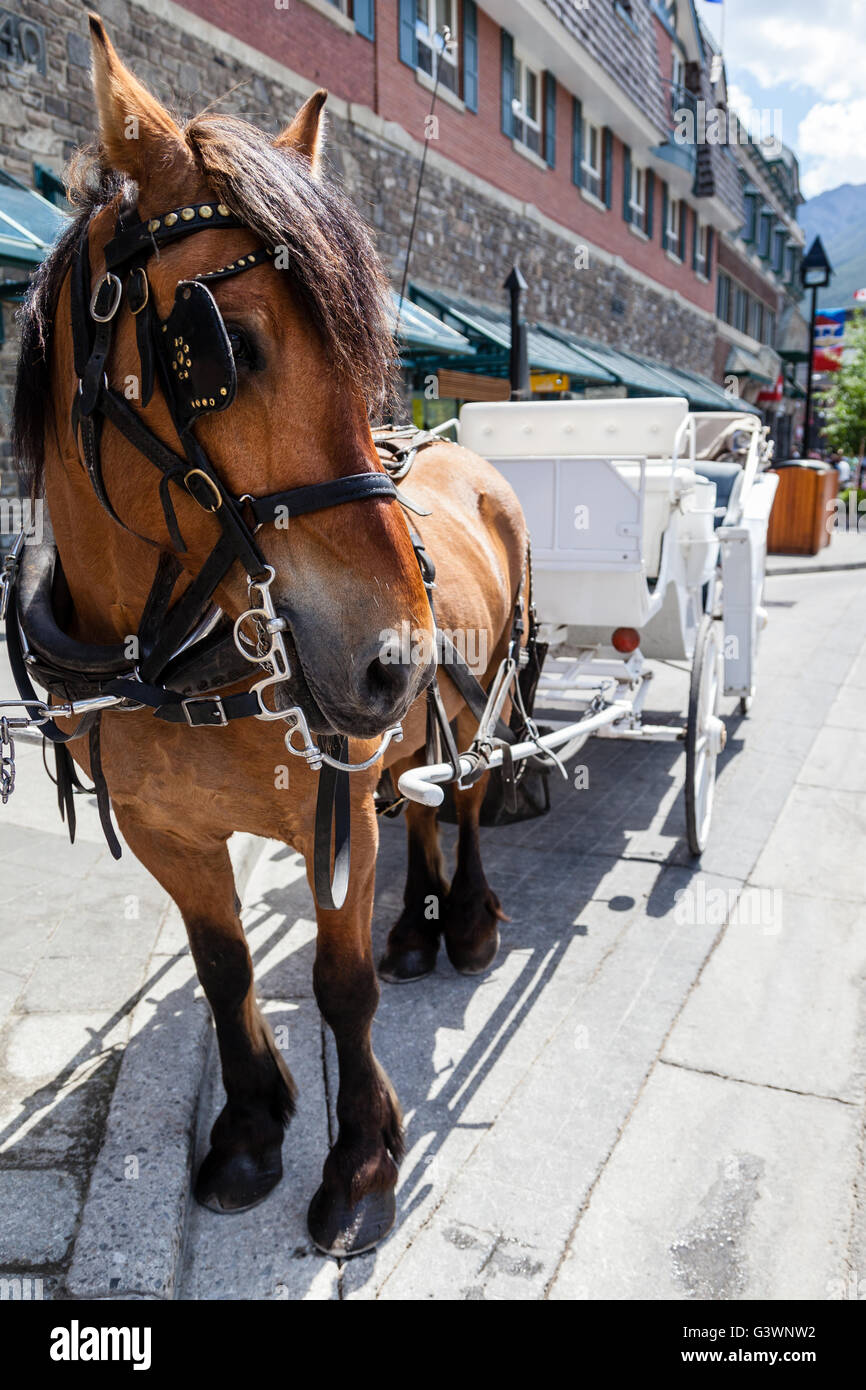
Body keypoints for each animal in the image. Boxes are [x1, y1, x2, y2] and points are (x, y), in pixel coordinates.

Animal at [11, 15, 527, 1256]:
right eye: (221, 345)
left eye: (365, 342)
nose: (392, 658)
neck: (165, 657)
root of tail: (461, 451)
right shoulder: (170, 831)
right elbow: (221, 965)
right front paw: (250, 1125)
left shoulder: (325, 812)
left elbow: (338, 989)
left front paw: (359, 1157)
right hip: (405, 736)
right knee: (419, 800)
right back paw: (418, 922)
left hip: (475, 695)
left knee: (465, 798)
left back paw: (464, 921)